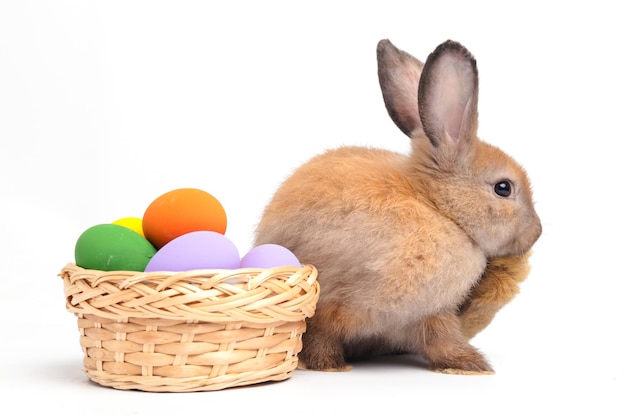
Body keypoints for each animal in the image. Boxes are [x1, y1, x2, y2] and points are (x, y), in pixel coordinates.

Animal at [254, 37, 540, 372]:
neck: (438, 207)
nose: (537, 232)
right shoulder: (345, 302)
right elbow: (322, 335)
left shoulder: (429, 312)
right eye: (503, 188)